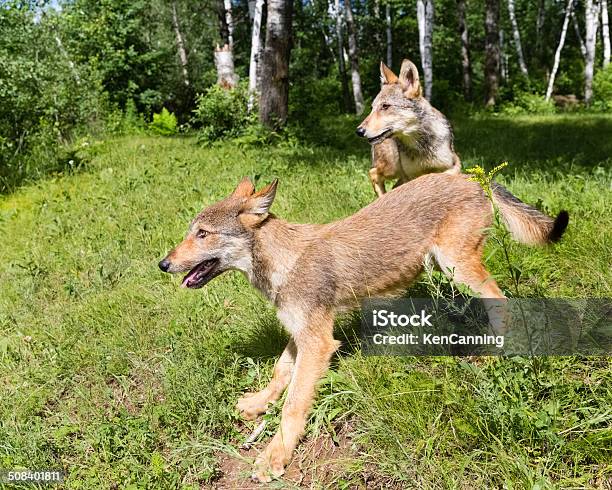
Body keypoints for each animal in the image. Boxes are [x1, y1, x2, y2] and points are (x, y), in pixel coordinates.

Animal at [356, 60, 462, 197]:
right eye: (372, 108)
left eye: (385, 106)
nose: (359, 131)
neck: (420, 145)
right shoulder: (410, 176)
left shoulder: (453, 164)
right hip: (392, 169)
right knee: (373, 173)